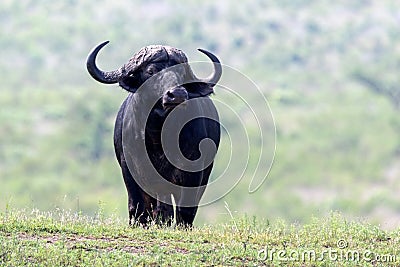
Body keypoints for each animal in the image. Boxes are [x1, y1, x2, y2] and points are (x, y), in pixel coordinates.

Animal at [86, 41, 222, 226]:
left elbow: (184, 209)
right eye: (150, 71)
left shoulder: (192, 172)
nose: (177, 95)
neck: (158, 137)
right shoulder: (130, 170)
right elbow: (137, 205)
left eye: (181, 73)